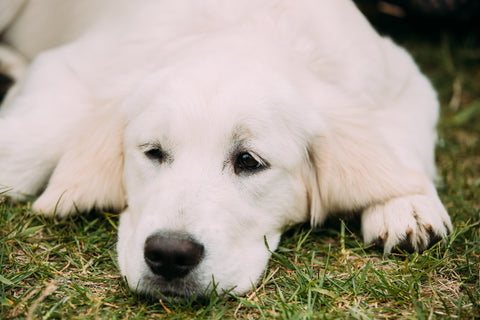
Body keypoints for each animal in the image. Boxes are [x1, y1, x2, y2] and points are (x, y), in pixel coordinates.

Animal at [0, 0, 452, 298]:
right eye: (152, 152)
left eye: (248, 161)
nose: (169, 255)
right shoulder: (72, 70)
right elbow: (25, 148)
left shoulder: (403, 77)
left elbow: (401, 139)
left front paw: (408, 206)